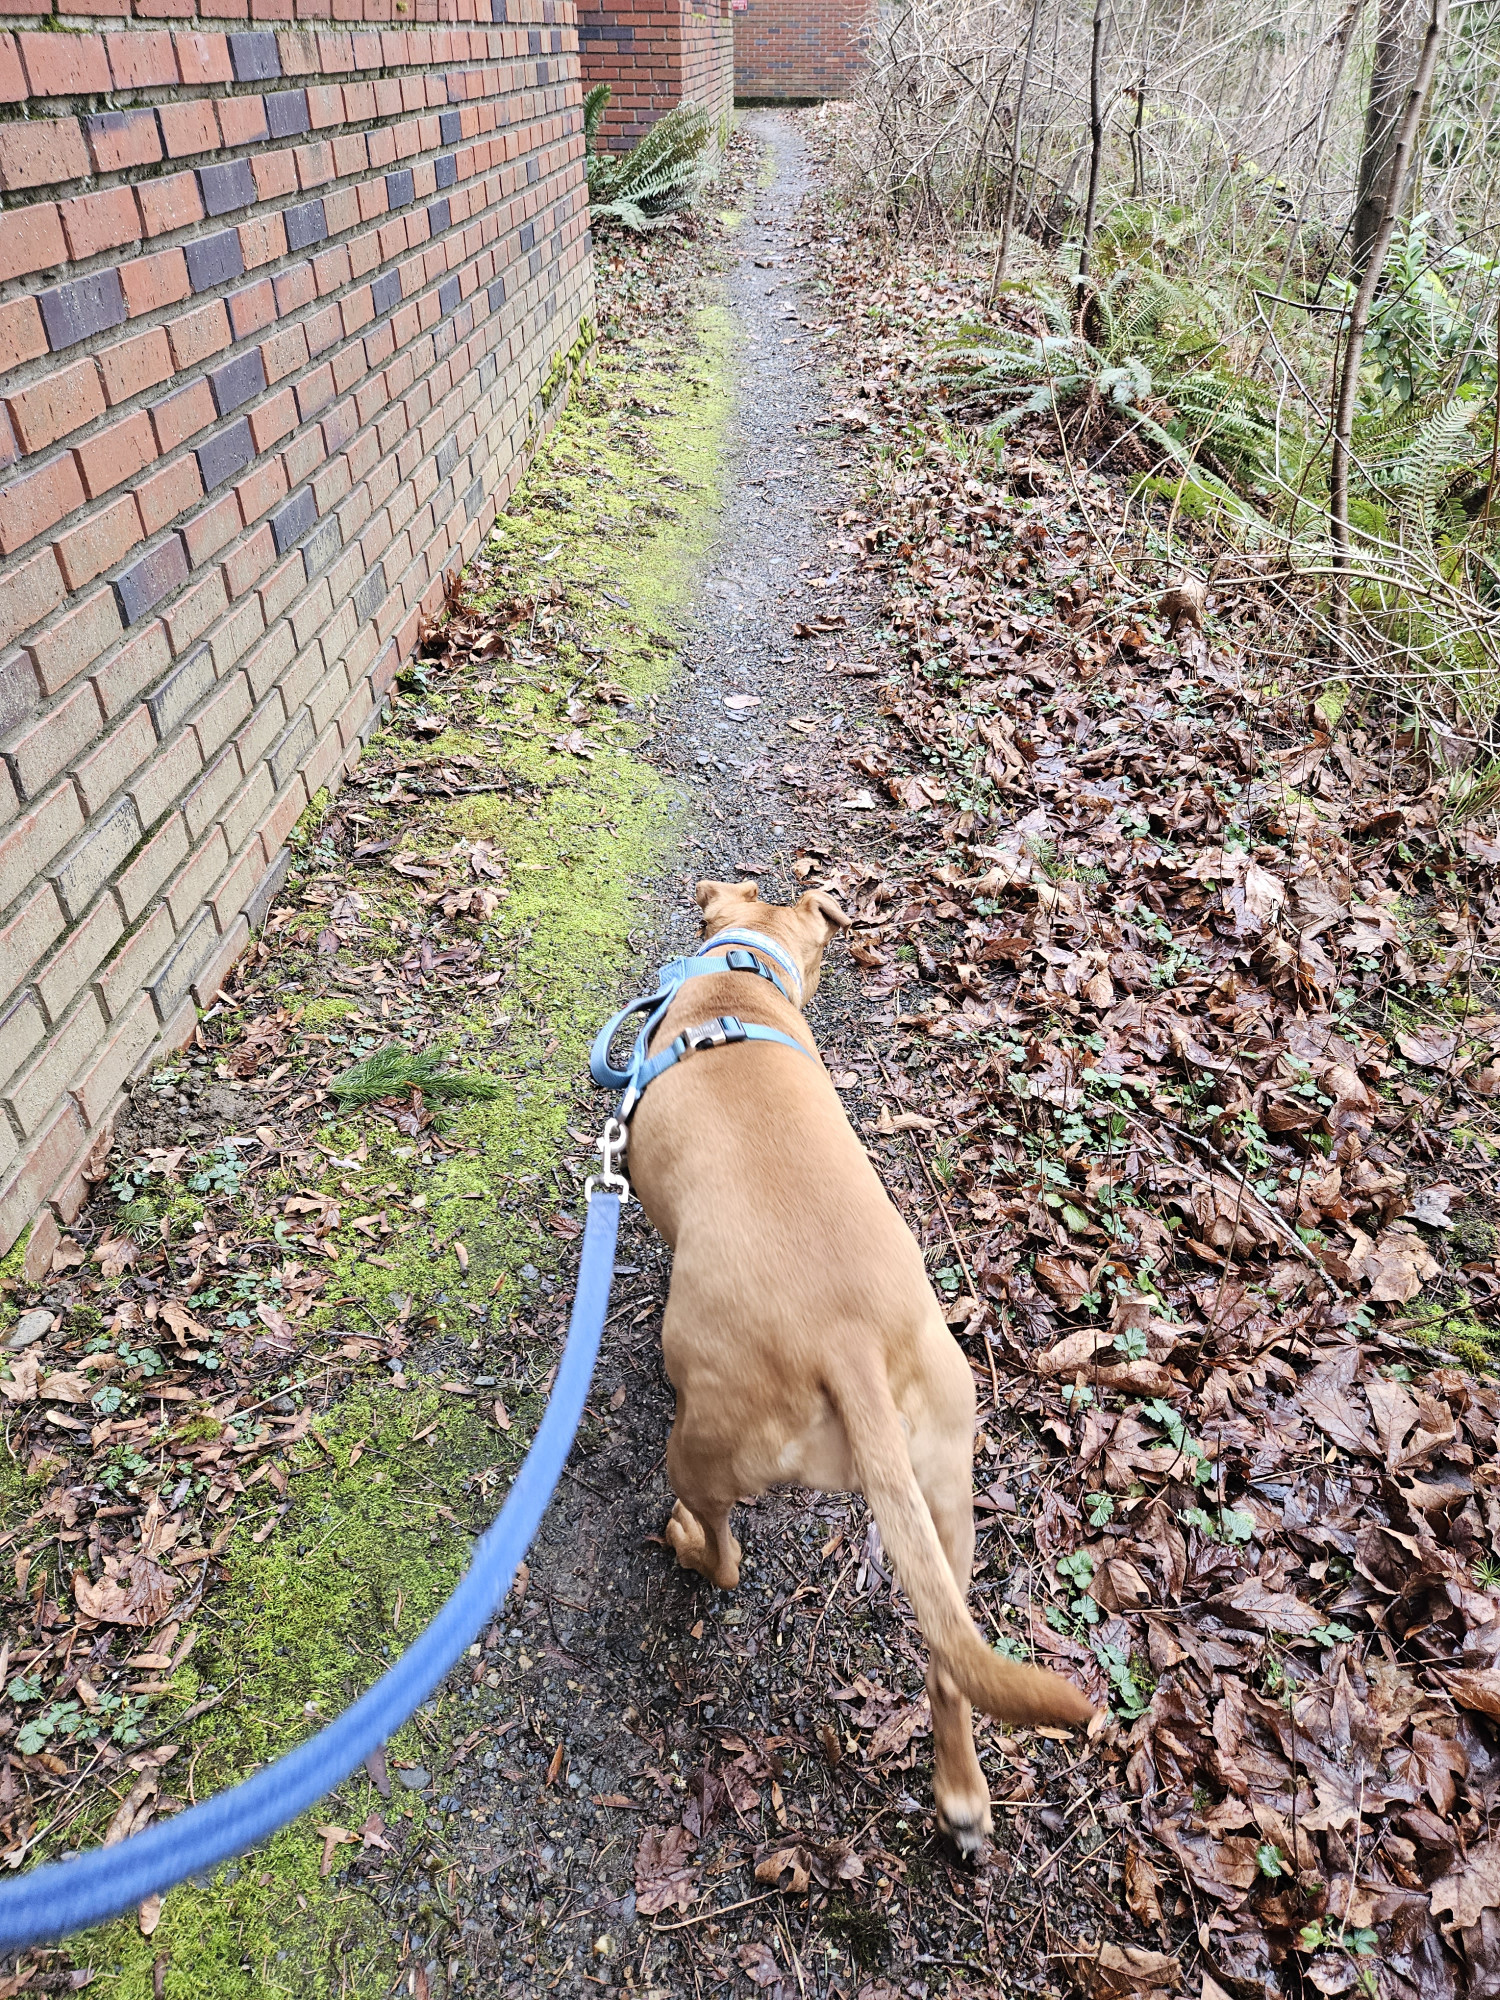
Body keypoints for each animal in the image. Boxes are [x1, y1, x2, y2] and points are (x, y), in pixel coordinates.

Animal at [624, 884, 1096, 1848]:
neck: (739, 976)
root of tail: (845, 1346)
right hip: (945, 1502)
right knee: (951, 1657)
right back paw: (961, 1794)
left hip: (700, 1444)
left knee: (724, 1554)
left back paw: (687, 1543)